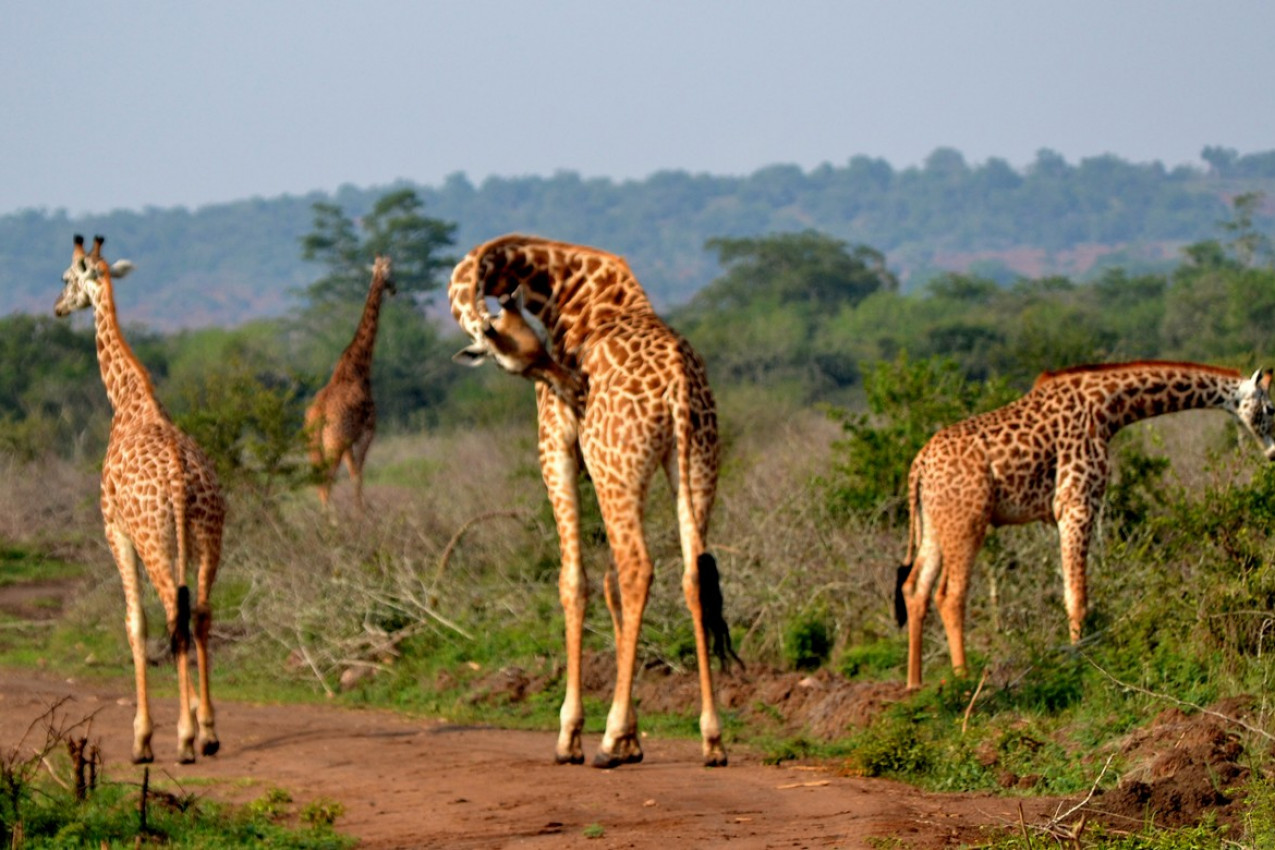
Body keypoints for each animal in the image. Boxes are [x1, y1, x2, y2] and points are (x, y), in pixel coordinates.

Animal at [54, 234, 225, 764]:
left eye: (66, 278)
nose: (57, 308)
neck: (129, 400)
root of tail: (181, 484)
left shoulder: (116, 530)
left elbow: (135, 622)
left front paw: (142, 738)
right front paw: (193, 726)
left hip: (155, 541)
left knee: (174, 611)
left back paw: (185, 738)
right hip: (210, 538)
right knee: (201, 613)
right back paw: (208, 732)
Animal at [303, 256, 392, 512]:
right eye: (391, 272)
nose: (393, 289)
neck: (357, 367)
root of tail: (318, 414)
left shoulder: (350, 440)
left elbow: (354, 472)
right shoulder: (367, 431)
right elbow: (357, 473)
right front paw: (362, 513)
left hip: (315, 445)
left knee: (319, 480)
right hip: (334, 442)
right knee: (328, 479)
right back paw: (332, 518)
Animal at [453, 233, 744, 769]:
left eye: (533, 348)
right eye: (511, 358)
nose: (574, 388)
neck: (573, 296)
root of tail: (677, 387)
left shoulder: (556, 449)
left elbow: (574, 580)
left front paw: (574, 736)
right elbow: (607, 582)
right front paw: (632, 737)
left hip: (619, 468)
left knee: (637, 567)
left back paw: (605, 743)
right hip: (694, 462)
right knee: (692, 572)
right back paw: (712, 739)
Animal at [897, 359, 1275, 693]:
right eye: (1270, 409)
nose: (1272, 452)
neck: (1109, 409)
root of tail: (918, 467)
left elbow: (1071, 590)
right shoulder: (1077, 503)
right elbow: (1077, 595)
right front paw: (1080, 662)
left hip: (935, 524)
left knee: (915, 588)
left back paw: (914, 683)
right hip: (968, 521)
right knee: (949, 595)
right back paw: (963, 679)